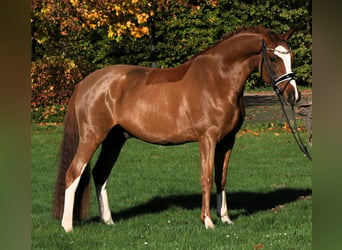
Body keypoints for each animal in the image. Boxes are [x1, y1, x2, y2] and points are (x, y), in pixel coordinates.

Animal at [52, 26, 300, 231]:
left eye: (291, 57)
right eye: (272, 57)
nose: (293, 96)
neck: (217, 79)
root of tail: (85, 84)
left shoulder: (228, 140)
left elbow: (221, 178)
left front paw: (226, 218)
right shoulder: (207, 138)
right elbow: (206, 177)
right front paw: (208, 221)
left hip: (115, 140)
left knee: (100, 173)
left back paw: (108, 221)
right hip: (92, 137)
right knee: (73, 172)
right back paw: (67, 226)